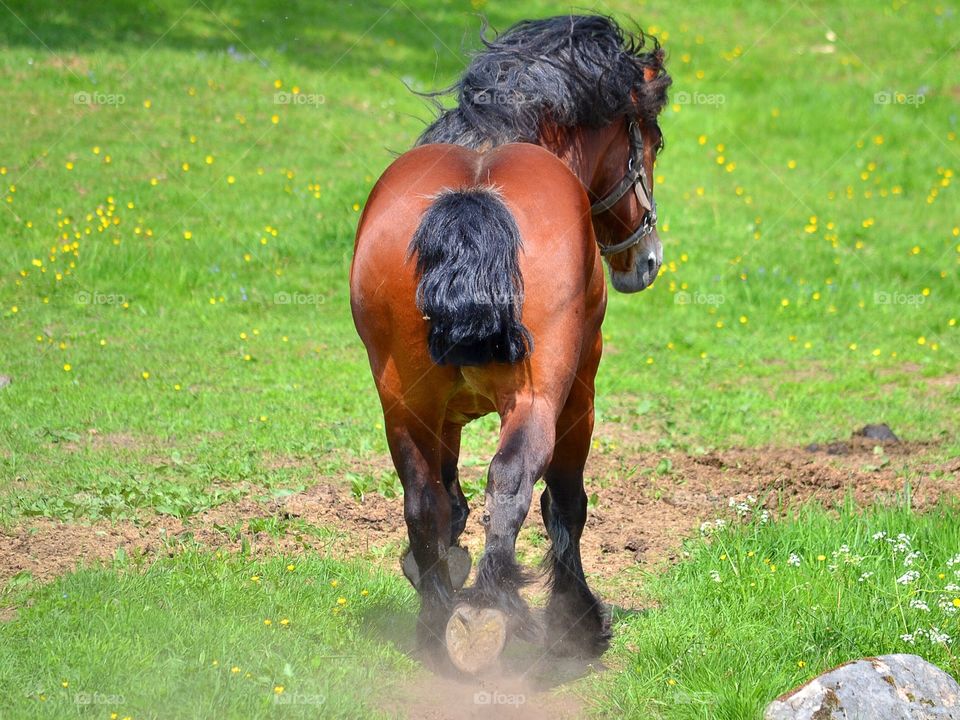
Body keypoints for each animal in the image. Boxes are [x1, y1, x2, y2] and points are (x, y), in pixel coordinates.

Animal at [348, 14, 672, 672]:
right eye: (652, 141)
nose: (647, 260)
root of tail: (472, 198)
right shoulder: (579, 390)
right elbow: (564, 503)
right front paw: (579, 622)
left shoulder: (439, 410)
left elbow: (447, 500)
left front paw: (440, 563)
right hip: (539, 398)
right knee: (513, 481)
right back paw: (485, 617)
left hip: (404, 402)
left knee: (422, 497)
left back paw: (437, 624)